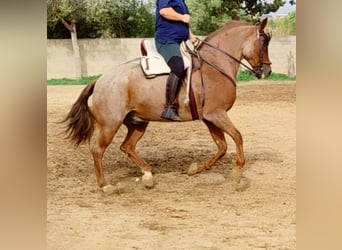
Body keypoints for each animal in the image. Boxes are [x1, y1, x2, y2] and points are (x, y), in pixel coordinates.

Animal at [62, 18, 272, 194]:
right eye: (263, 43)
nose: (267, 70)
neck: (214, 66)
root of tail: (100, 80)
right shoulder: (217, 115)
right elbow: (237, 137)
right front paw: (237, 175)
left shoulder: (210, 118)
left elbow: (222, 147)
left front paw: (195, 169)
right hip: (110, 124)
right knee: (98, 150)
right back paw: (106, 185)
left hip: (138, 122)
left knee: (127, 147)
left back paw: (147, 175)